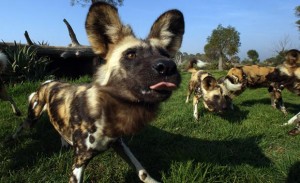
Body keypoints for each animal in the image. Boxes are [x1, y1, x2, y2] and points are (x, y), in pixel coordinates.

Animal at [10, 2, 184, 182]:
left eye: (165, 54)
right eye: (131, 54)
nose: (168, 66)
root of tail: (48, 81)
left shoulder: (119, 144)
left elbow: (142, 172)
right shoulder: (79, 162)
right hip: (32, 118)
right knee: (22, 126)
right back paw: (11, 141)